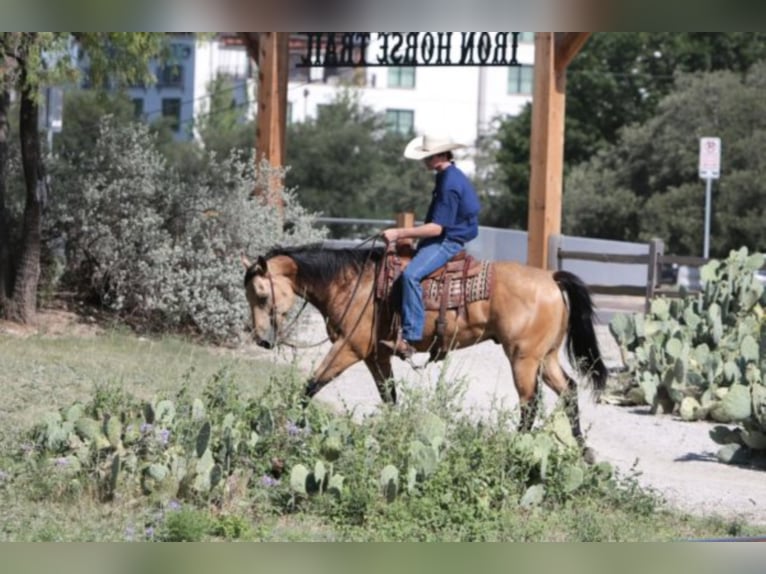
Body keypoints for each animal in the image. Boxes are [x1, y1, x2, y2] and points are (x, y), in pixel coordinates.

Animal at [243, 243, 608, 454]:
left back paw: (516, 447)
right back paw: (582, 452)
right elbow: (389, 397)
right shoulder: (376, 356)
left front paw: (290, 427)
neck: (353, 285)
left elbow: (311, 385)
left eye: (261, 294)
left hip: (524, 359)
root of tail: (551, 279)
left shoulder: (350, 349)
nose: (262, 339)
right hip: (545, 358)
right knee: (569, 390)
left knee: (530, 405)